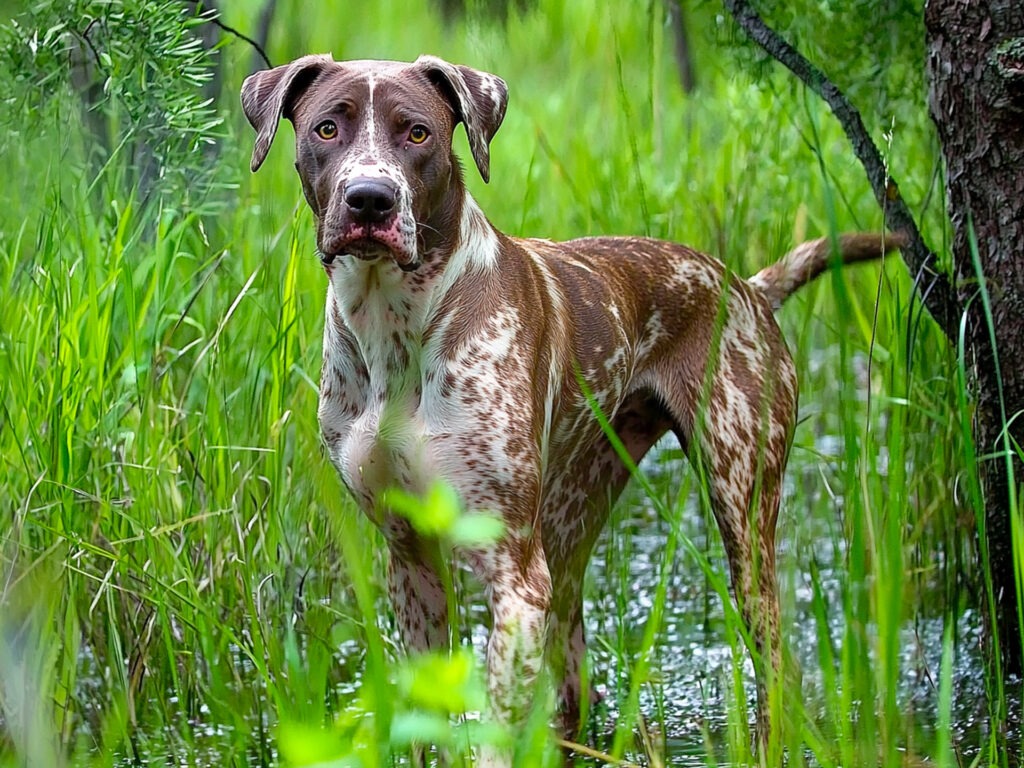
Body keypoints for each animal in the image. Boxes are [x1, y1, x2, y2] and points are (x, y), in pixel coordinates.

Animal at [241, 52, 905, 765]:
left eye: (417, 132)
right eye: (327, 128)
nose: (370, 198)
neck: (395, 328)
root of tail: (746, 287)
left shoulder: (514, 579)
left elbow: (492, 736)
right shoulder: (412, 562)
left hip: (742, 522)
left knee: (774, 665)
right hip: (570, 530)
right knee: (574, 682)